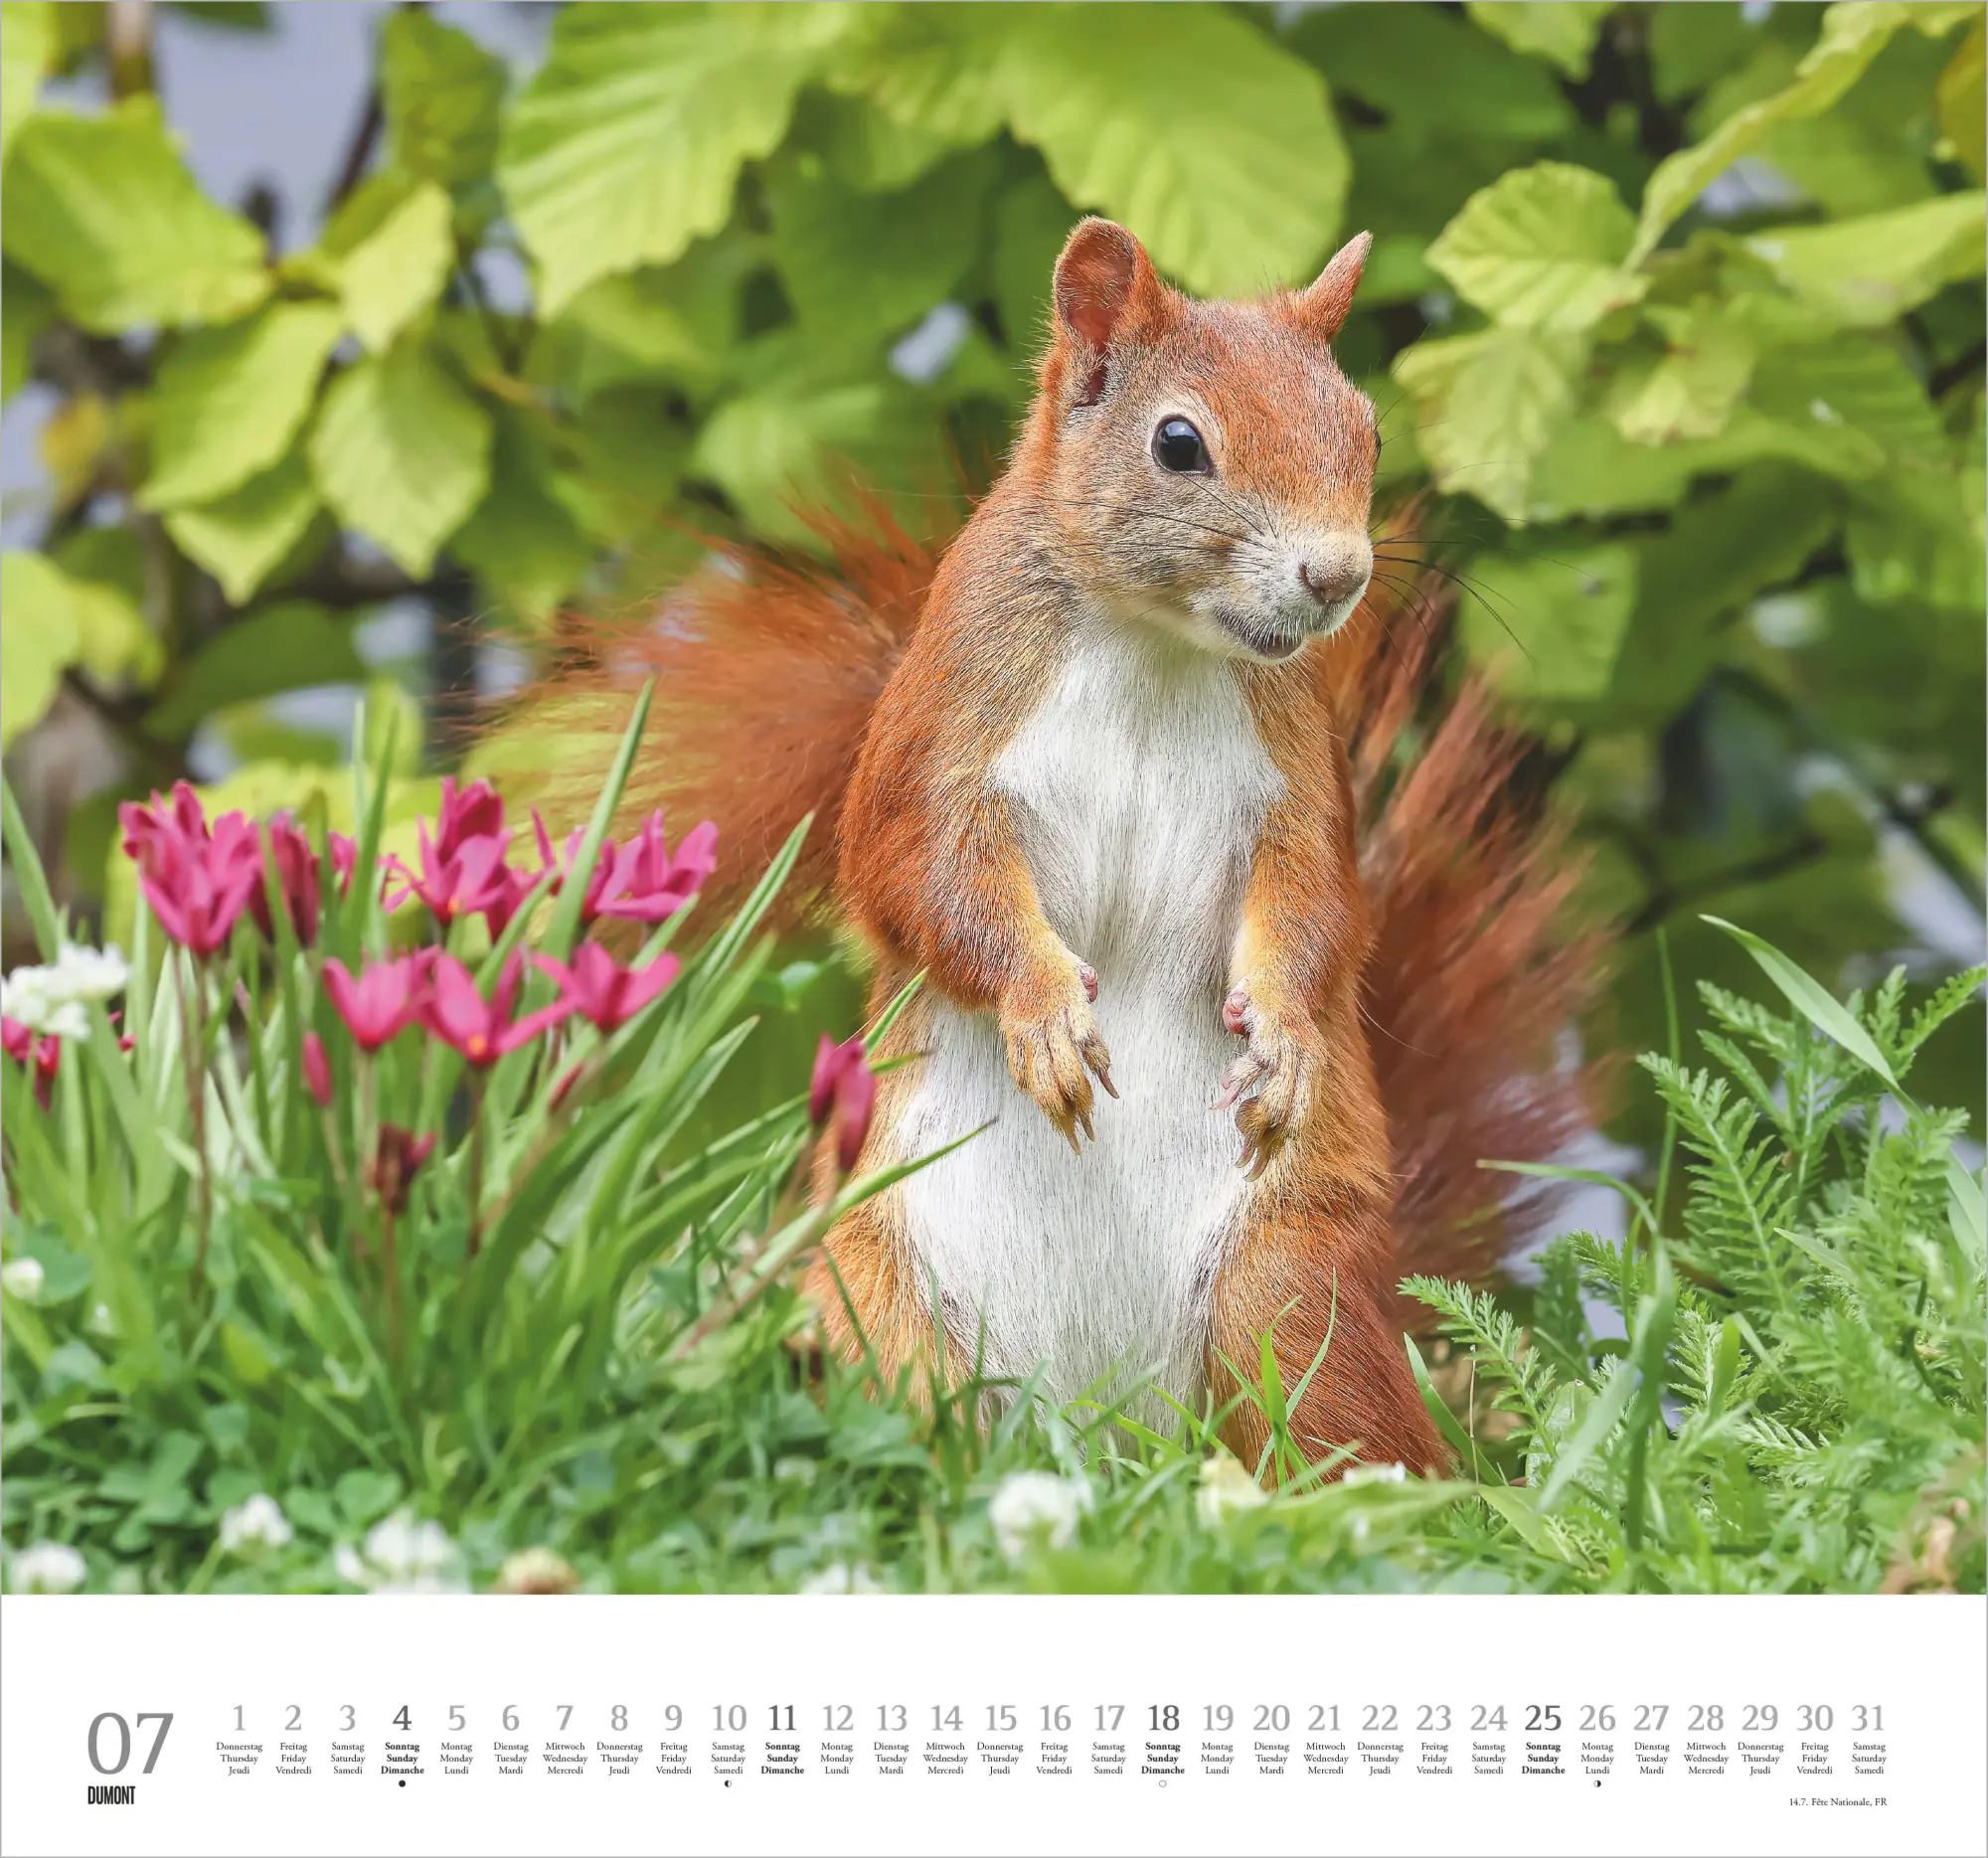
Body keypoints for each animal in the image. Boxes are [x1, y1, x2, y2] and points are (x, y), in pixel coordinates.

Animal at [505, 218, 1603, 1476]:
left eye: (1364, 427)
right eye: (1177, 443)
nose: (1336, 576)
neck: (1153, 645)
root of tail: (1101, 1432)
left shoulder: (1295, 779)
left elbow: (1318, 907)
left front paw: (1283, 1035)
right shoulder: (944, 736)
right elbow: (921, 880)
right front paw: (1040, 1015)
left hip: (1284, 1290)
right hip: (877, 1305)